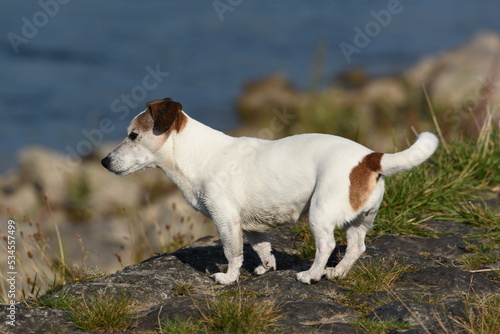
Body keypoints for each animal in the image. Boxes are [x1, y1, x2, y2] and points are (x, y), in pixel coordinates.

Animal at [101, 97, 438, 284]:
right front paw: (266, 268)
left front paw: (228, 278)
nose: (104, 161)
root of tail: (370, 158)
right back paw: (338, 273)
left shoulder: (226, 220)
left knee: (327, 246)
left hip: (320, 213)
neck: (197, 153)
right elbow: (263, 249)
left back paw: (311, 275)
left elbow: (233, 253)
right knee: (356, 247)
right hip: (359, 220)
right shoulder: (253, 228)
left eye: (133, 135)